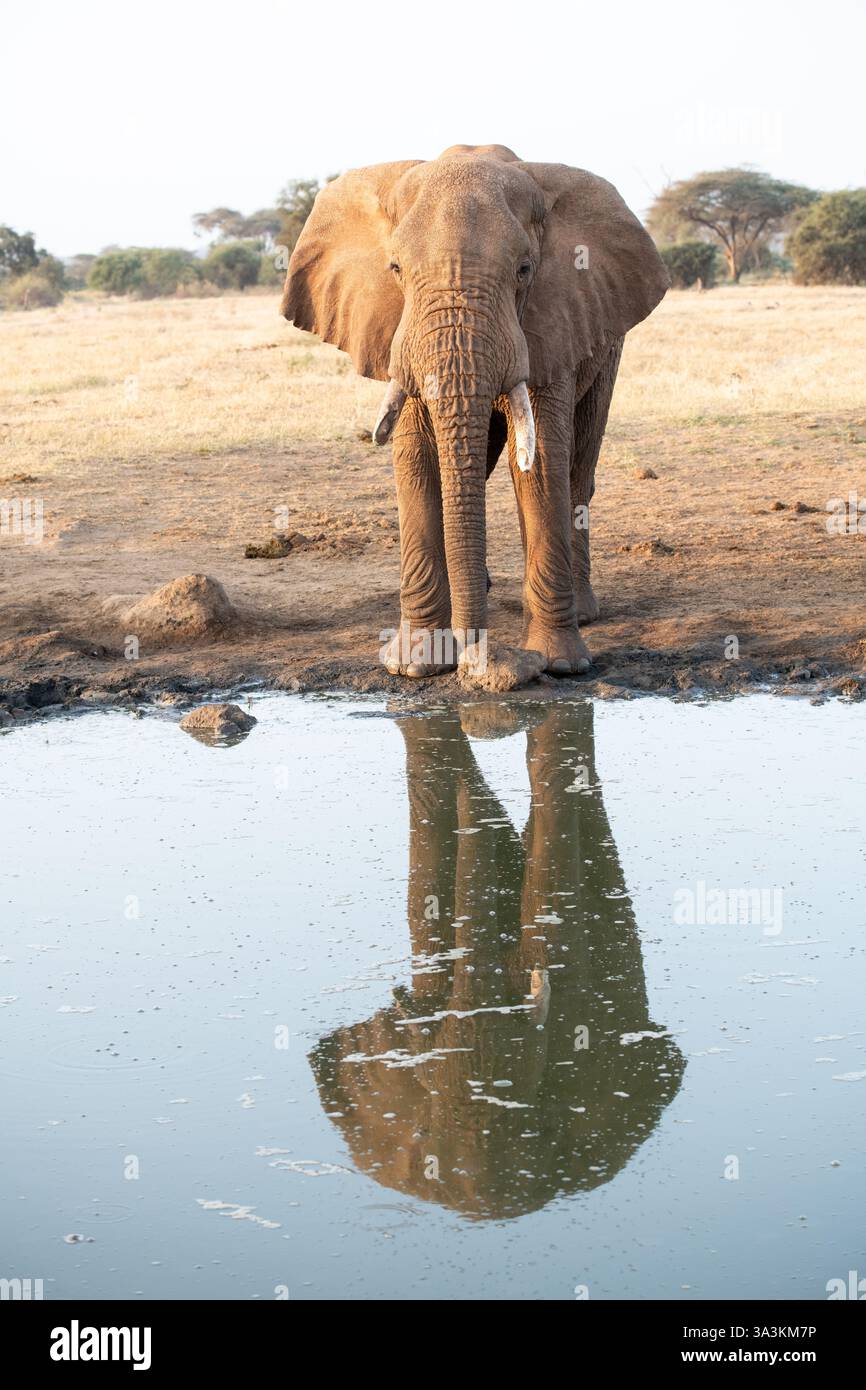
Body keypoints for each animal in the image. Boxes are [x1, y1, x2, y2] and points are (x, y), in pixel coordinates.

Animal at [281, 144, 668, 677]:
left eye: (525, 270)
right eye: (395, 269)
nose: (475, 661)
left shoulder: (553, 321)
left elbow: (543, 462)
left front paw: (561, 664)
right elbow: (418, 459)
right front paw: (416, 663)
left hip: (605, 337)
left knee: (576, 466)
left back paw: (581, 611)